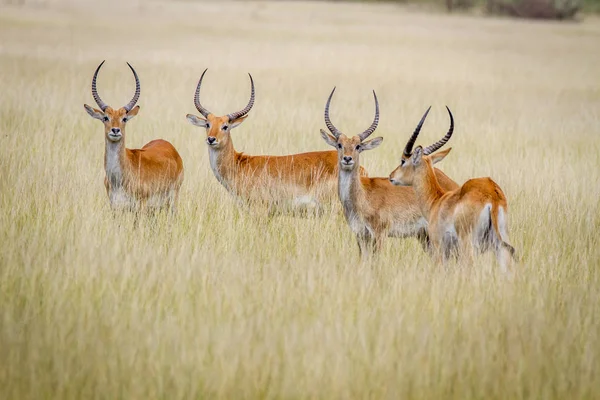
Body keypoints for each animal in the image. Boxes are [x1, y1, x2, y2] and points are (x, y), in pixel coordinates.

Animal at [82, 60, 183, 211]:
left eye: (124, 118)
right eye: (105, 117)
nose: (115, 130)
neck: (118, 180)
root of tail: (171, 147)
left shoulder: (140, 207)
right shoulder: (116, 208)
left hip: (171, 203)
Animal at [318, 89, 460, 260]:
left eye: (358, 146)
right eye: (339, 145)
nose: (347, 159)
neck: (363, 195)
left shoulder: (380, 234)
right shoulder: (361, 236)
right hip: (424, 236)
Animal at [390, 105, 516, 272]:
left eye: (403, 160)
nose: (391, 176)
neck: (437, 201)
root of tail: (492, 196)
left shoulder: (438, 247)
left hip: (468, 244)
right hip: (500, 243)